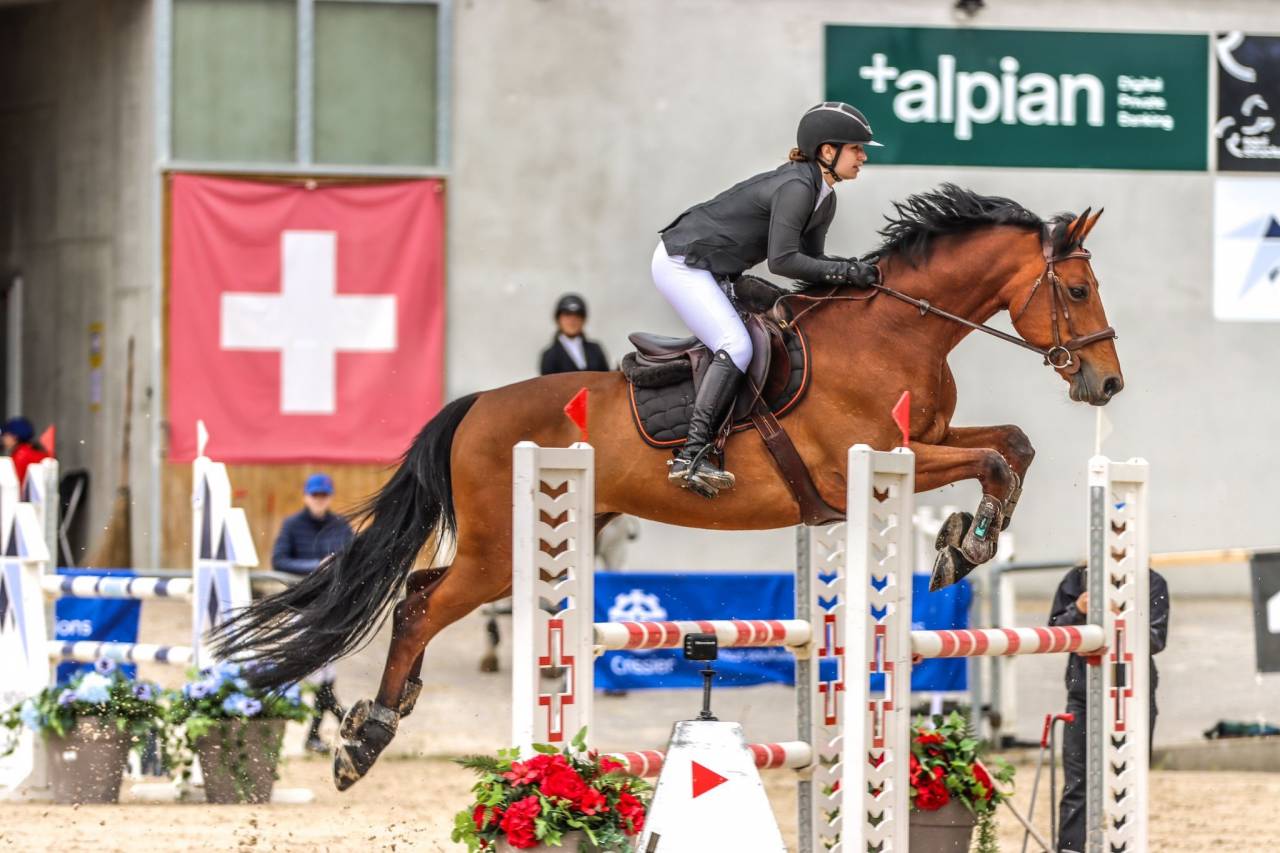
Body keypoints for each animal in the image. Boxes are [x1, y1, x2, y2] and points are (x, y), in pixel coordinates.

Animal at [212, 184, 1124, 789]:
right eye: (1078, 289)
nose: (1107, 384)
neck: (898, 331)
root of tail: (475, 406)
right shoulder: (872, 459)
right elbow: (994, 461)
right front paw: (965, 543)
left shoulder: (926, 441)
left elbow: (1010, 445)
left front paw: (965, 540)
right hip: (500, 549)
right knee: (420, 604)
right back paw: (367, 736)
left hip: (525, 543)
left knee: (422, 590)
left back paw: (383, 716)